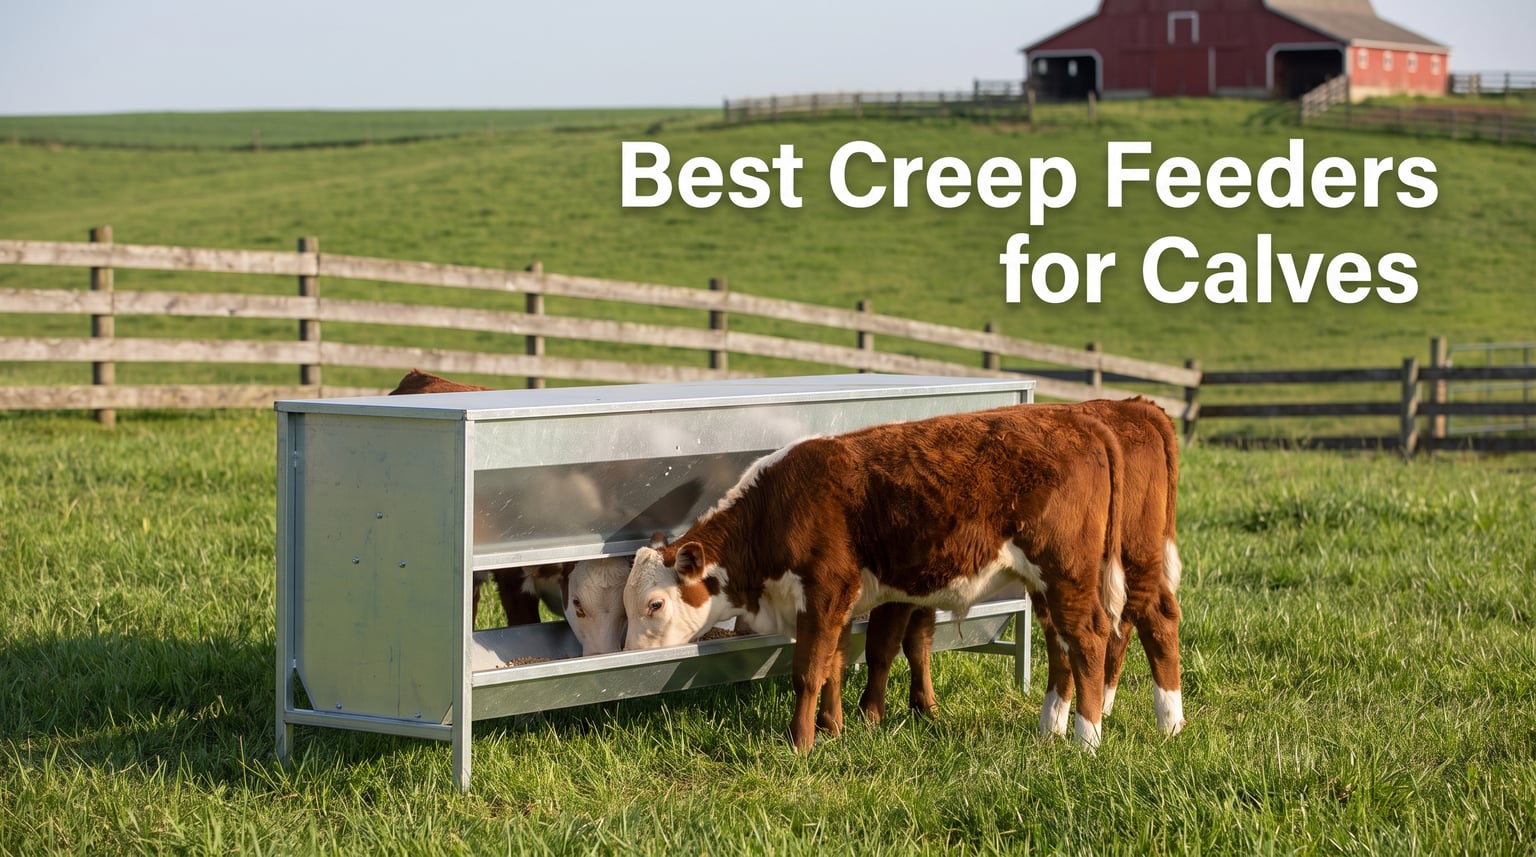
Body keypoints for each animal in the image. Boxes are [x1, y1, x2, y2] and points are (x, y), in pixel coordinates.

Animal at [623, 404, 1127, 753]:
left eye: (655, 603)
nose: (628, 653)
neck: (778, 507)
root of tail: (1077, 419)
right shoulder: (840, 599)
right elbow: (835, 665)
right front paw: (832, 729)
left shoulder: (824, 591)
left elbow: (808, 671)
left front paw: (800, 742)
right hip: (1046, 585)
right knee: (1061, 643)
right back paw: (1049, 728)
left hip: (1065, 572)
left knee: (1089, 638)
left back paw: (1086, 738)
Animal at [857, 397, 1186, 738]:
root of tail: (1135, 406)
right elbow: (917, 641)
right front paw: (922, 709)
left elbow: (883, 644)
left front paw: (870, 716)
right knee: (1097, 630)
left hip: (1130, 559)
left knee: (1154, 617)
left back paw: (1168, 724)